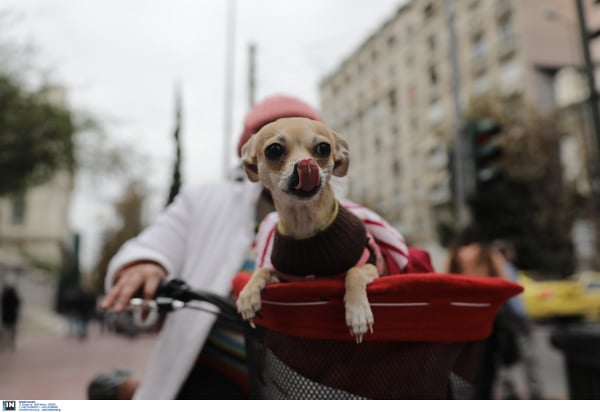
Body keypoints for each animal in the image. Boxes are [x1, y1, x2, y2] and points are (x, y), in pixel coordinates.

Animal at [234, 116, 390, 342]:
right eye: (274, 149)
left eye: (324, 148)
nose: (306, 164)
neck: (304, 223)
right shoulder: (284, 278)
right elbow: (263, 269)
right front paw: (247, 295)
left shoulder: (371, 265)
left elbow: (354, 273)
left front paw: (358, 312)